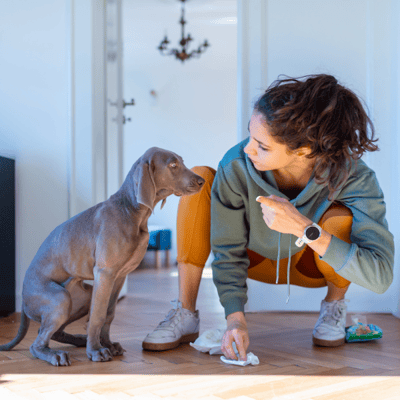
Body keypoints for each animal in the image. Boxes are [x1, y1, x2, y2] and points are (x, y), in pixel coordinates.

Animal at [0, 146, 205, 366]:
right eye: (173, 165)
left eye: (182, 162)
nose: (202, 180)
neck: (133, 211)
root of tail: (22, 300)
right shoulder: (105, 273)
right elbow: (98, 315)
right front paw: (97, 350)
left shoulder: (119, 276)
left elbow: (108, 313)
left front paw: (107, 344)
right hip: (60, 298)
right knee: (36, 343)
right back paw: (55, 354)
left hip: (83, 296)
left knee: (49, 331)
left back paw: (78, 340)